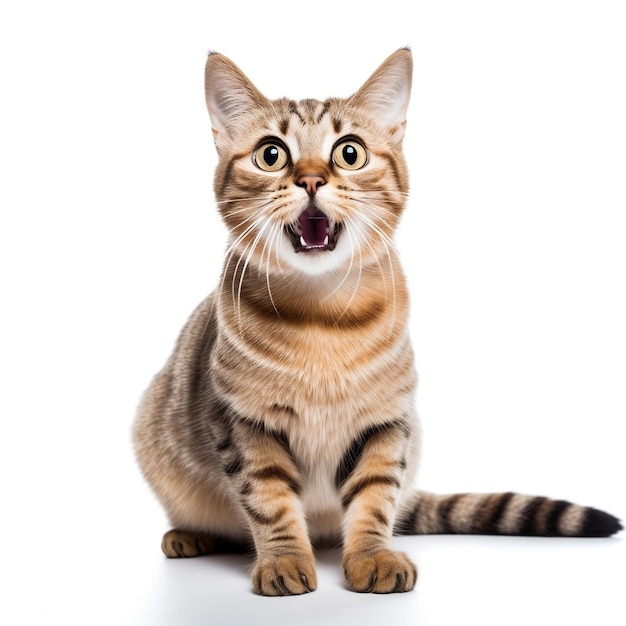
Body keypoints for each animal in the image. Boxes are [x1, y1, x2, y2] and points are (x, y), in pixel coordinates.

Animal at [133, 48, 620, 596]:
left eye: (349, 153)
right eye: (271, 154)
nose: (310, 180)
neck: (320, 318)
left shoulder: (387, 421)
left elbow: (375, 495)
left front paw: (372, 555)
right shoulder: (242, 421)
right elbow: (268, 499)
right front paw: (283, 559)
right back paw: (188, 534)